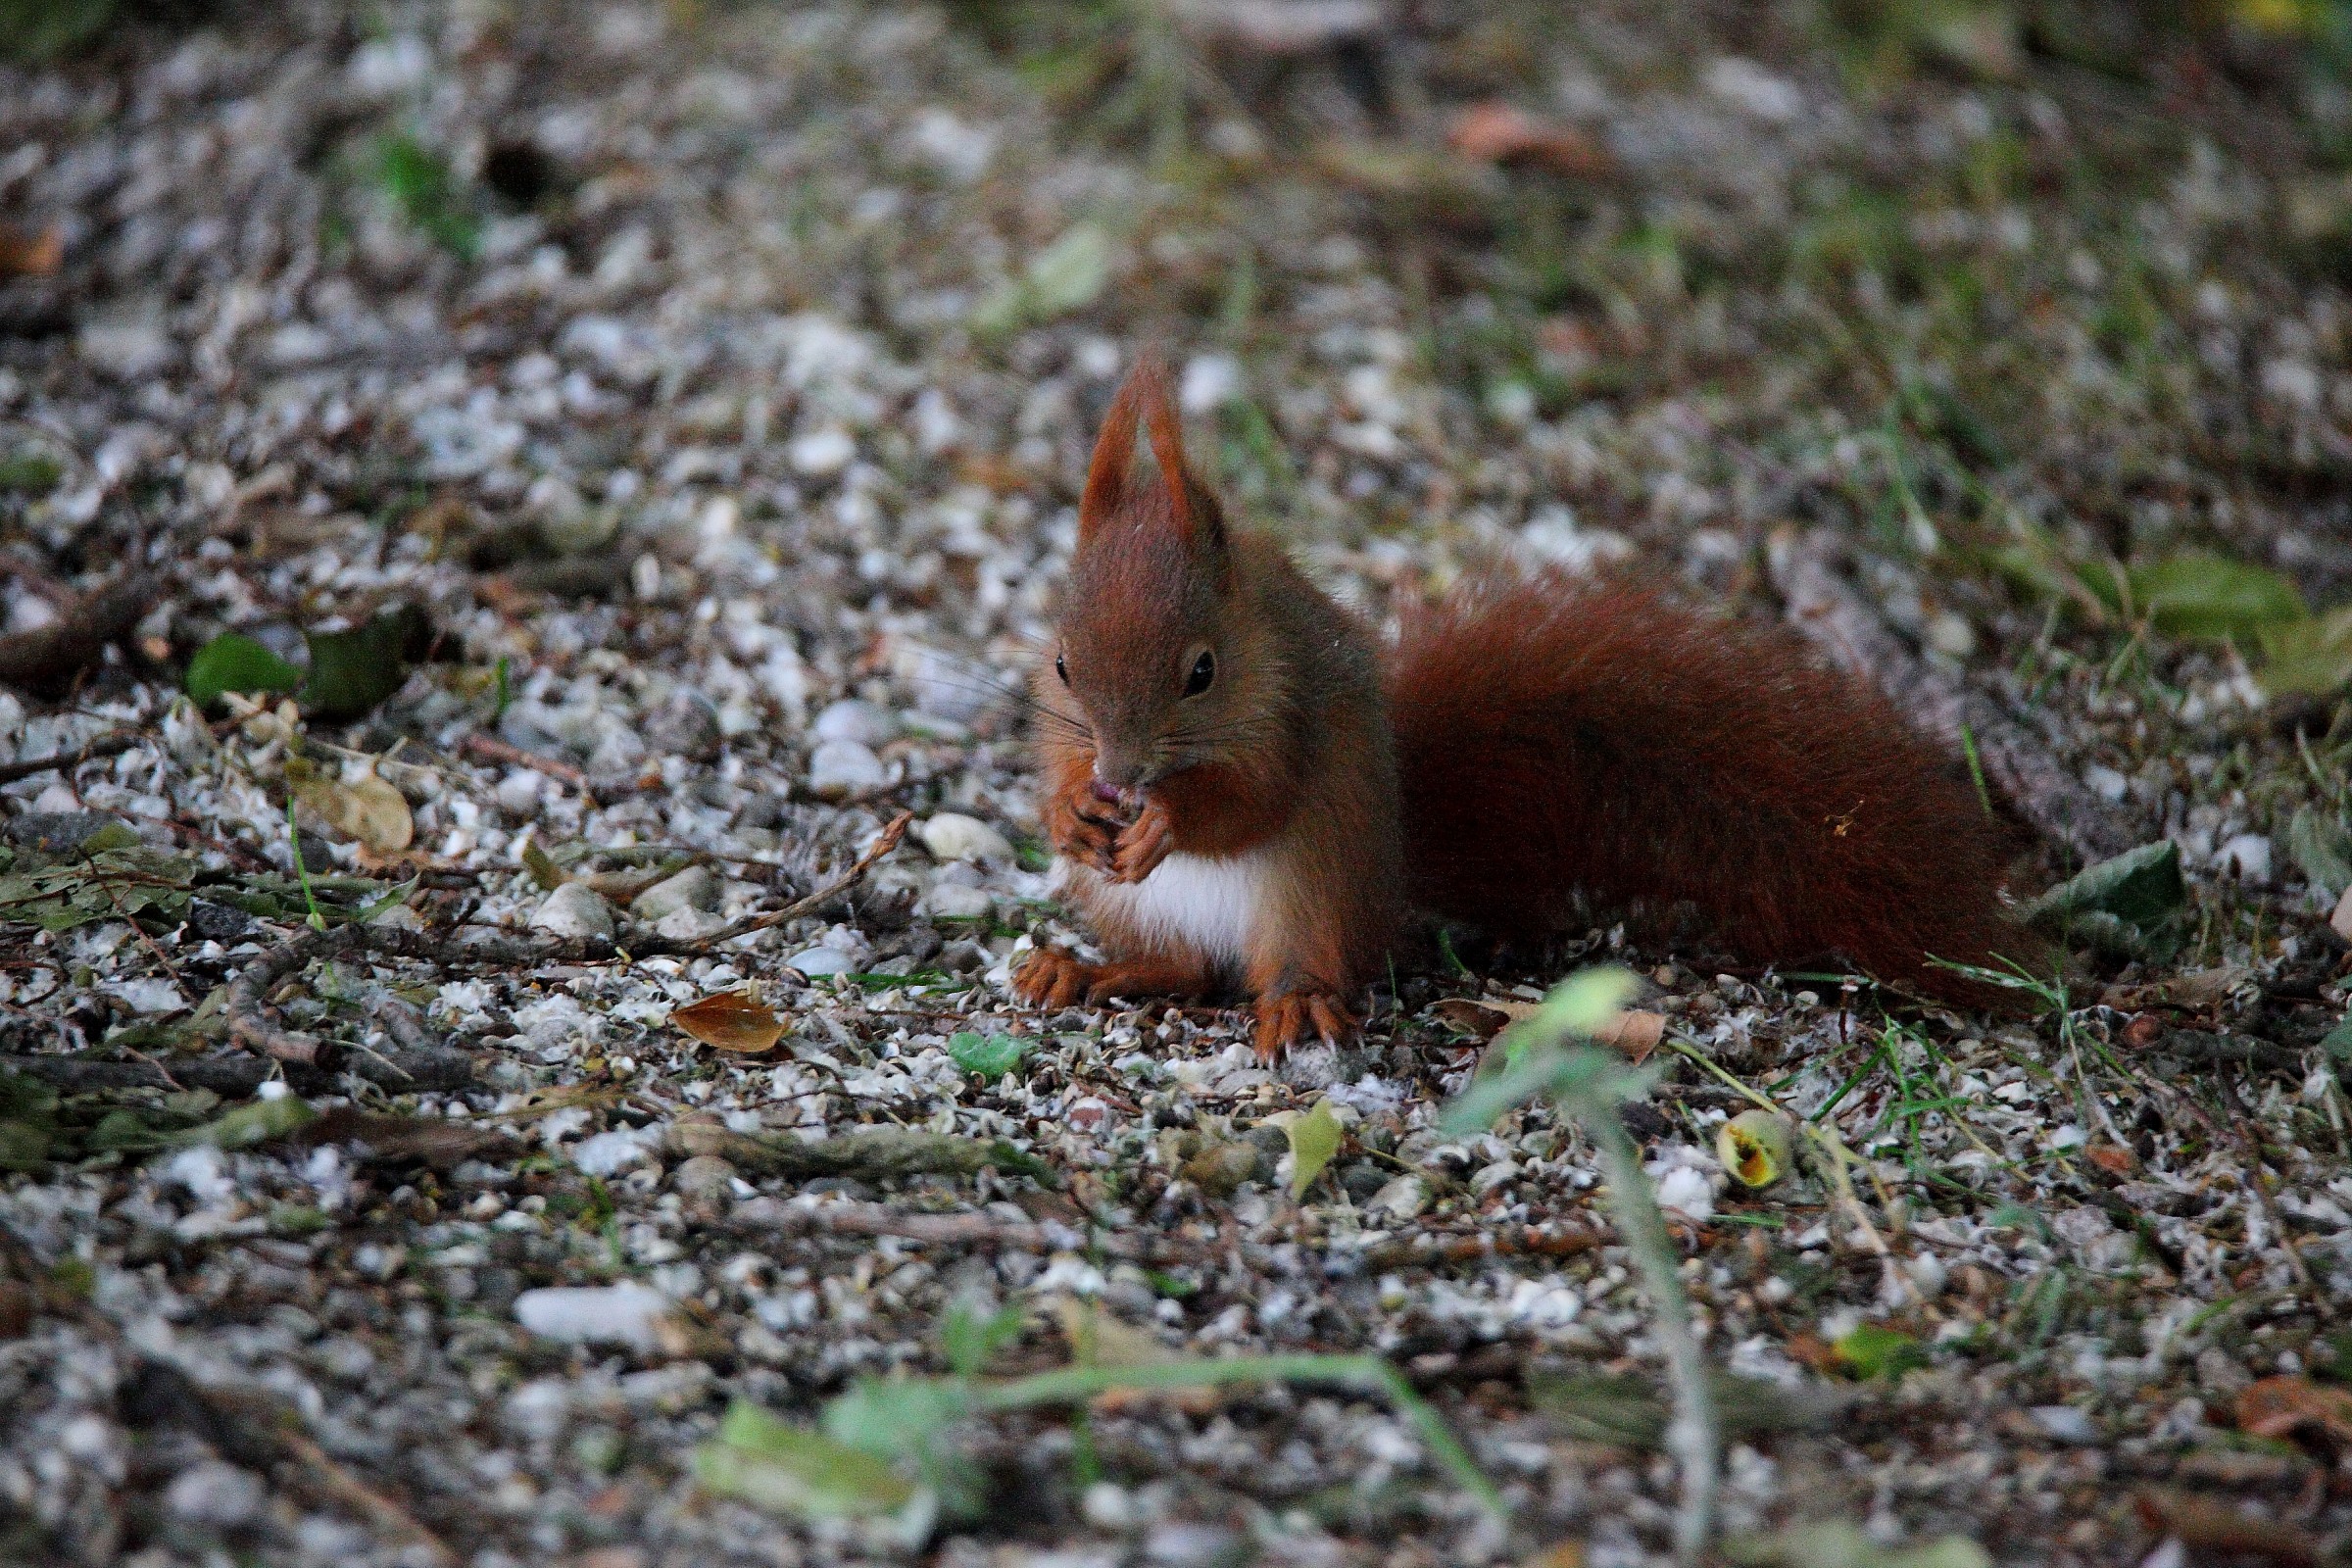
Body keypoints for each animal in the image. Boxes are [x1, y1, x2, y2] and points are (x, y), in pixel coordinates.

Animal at [1012, 354, 2023, 1059]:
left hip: (1313, 895)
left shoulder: (1287, 709)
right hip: (1133, 907)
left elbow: (1254, 799)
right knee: (1182, 968)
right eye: (1061, 662)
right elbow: (1055, 763)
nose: (1119, 778)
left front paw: (1167, 820)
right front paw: (1069, 811)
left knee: (1290, 967)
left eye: (1203, 672)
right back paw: (1079, 967)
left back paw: (1293, 1001)